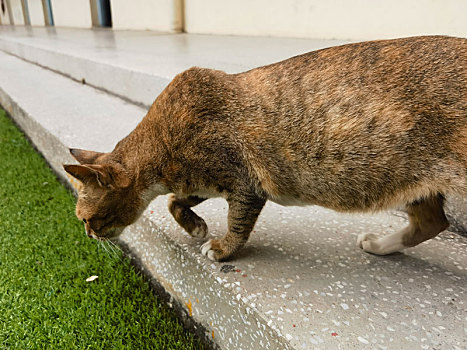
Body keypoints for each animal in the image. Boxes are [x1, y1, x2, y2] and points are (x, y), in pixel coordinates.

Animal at [64, 35, 466, 262]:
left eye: (86, 219)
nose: (87, 235)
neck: (160, 145)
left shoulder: (244, 182)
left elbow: (237, 221)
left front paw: (222, 248)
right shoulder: (201, 181)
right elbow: (175, 201)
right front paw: (195, 227)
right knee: (432, 221)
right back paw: (381, 245)